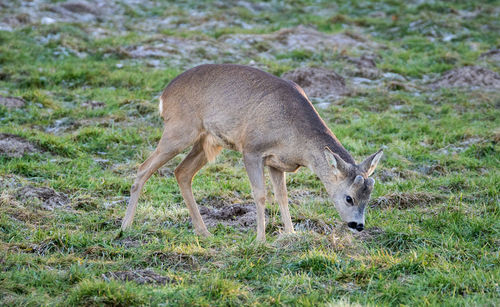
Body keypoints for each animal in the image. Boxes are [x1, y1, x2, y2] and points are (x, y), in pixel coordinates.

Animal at [120, 63, 382, 242]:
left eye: (369, 196)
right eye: (349, 197)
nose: (358, 225)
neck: (294, 135)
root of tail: (164, 95)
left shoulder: (277, 163)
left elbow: (282, 196)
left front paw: (291, 235)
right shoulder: (252, 150)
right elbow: (260, 194)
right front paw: (260, 239)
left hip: (209, 142)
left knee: (181, 172)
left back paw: (204, 232)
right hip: (179, 131)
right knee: (143, 168)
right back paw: (125, 226)